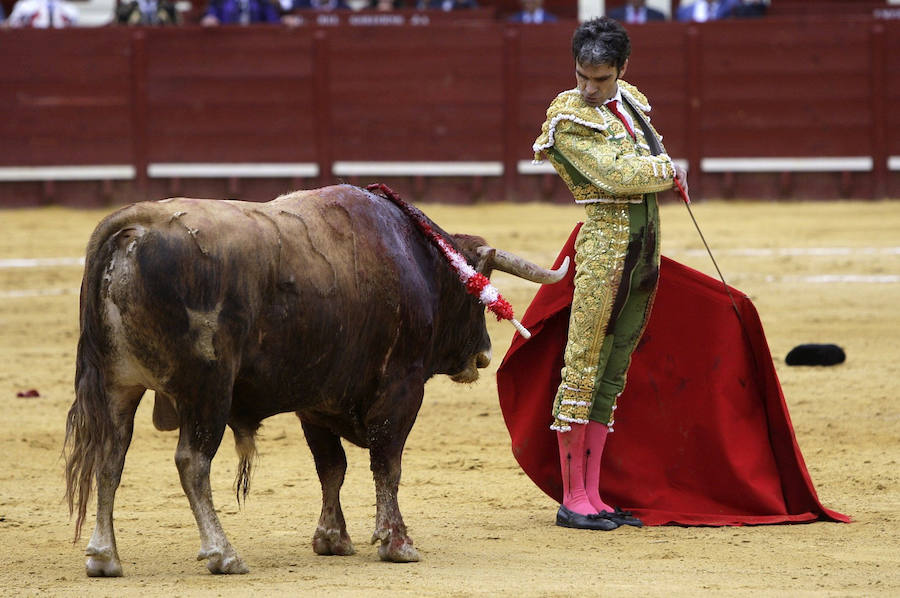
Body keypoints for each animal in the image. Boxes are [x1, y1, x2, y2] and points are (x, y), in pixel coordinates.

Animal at [63, 185, 568, 580]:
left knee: (110, 456)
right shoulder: (402, 391)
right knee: (192, 461)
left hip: (118, 386)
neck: (417, 260)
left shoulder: (316, 403)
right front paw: (397, 543)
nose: (483, 354)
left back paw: (104, 557)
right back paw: (223, 553)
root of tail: (135, 225)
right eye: (476, 295)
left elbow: (332, 468)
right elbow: (388, 464)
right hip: (208, 390)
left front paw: (332, 538)